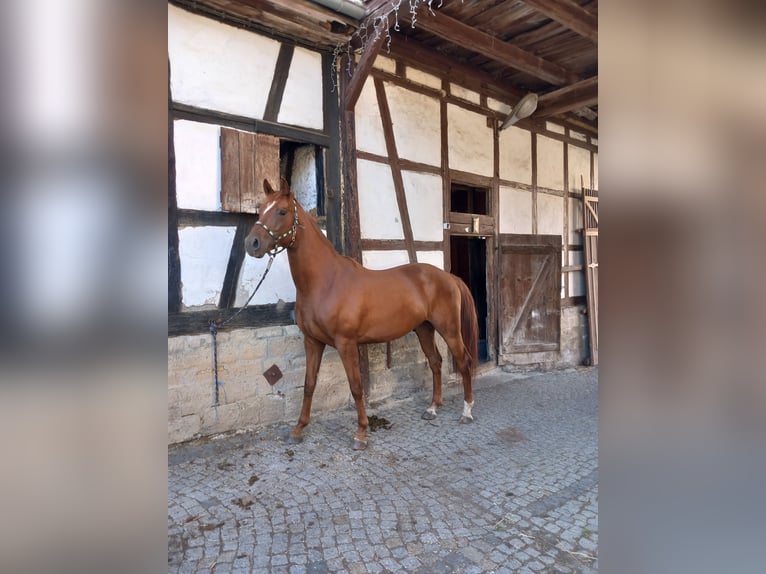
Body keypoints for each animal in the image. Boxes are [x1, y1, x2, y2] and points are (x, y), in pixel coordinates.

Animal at [244, 178, 480, 452]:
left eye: (282, 211)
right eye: (260, 210)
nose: (252, 243)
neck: (326, 282)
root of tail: (449, 277)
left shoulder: (346, 344)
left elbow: (356, 387)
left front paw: (361, 433)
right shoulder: (312, 342)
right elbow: (309, 384)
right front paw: (298, 429)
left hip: (449, 330)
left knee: (463, 362)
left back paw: (467, 411)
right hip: (424, 328)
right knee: (436, 362)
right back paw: (432, 408)